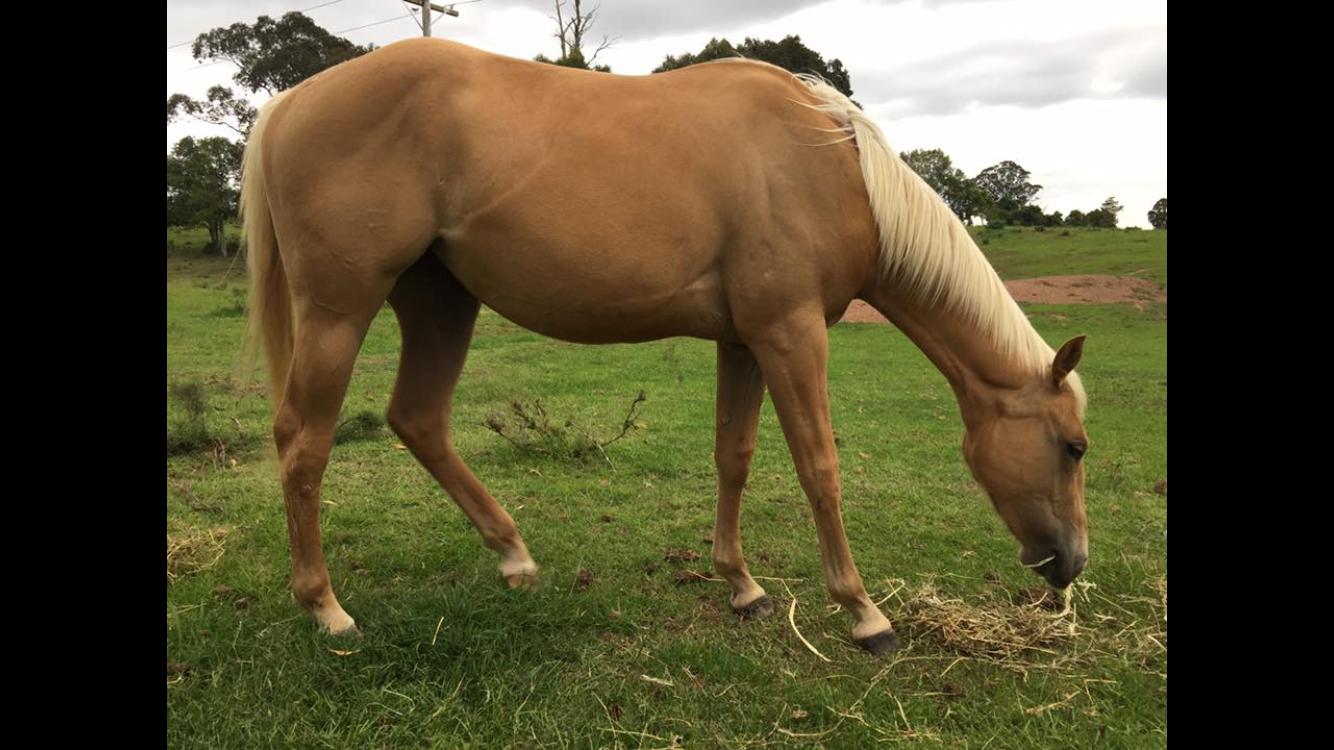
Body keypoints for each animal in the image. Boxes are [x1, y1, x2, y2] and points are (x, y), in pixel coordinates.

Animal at [240, 38, 1089, 656]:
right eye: (1074, 446)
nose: (1071, 566)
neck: (830, 165)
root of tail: (288, 104)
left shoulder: (746, 342)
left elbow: (733, 456)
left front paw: (742, 586)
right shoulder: (791, 333)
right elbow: (820, 468)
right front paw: (863, 612)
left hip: (440, 302)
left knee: (417, 420)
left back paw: (514, 556)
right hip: (340, 310)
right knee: (303, 444)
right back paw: (327, 608)